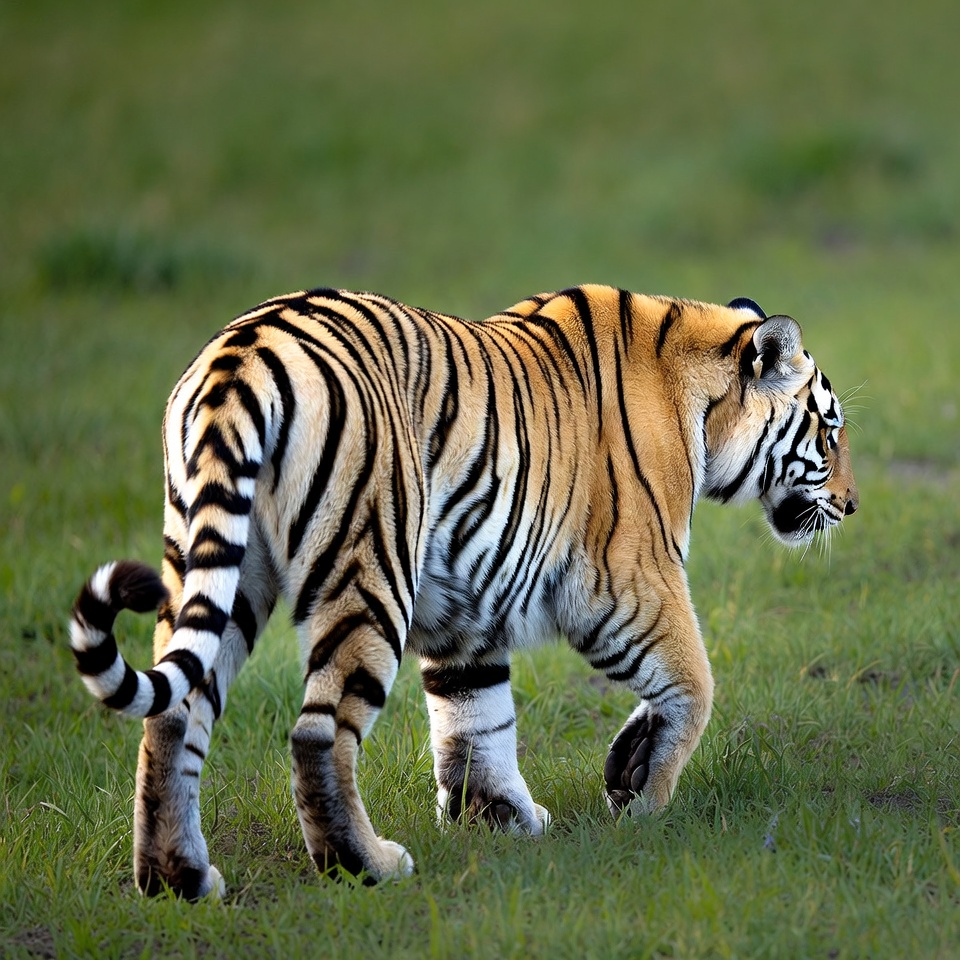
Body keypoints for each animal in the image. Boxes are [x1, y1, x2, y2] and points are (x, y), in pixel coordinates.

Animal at [70, 284, 858, 898]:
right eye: (829, 431)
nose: (852, 506)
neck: (697, 392)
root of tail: (244, 350)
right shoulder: (630, 577)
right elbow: (694, 682)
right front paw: (642, 799)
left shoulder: (464, 607)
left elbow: (474, 719)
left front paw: (502, 819)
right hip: (369, 566)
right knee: (318, 732)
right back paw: (364, 865)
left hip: (218, 567)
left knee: (173, 715)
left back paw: (177, 879)